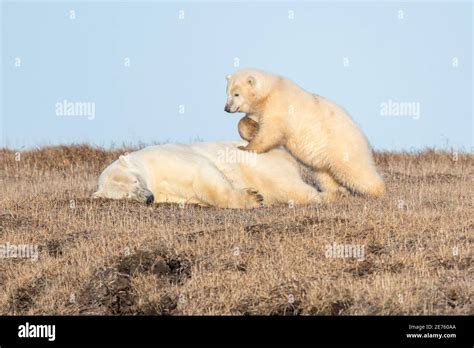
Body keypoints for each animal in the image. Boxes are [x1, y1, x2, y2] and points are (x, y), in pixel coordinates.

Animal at [92, 141, 322, 208]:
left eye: (134, 180)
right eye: (126, 196)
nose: (148, 198)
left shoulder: (164, 159)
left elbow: (202, 174)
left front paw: (252, 197)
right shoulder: (165, 192)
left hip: (260, 164)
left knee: (284, 185)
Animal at [225, 68, 386, 198]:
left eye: (236, 94)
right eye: (227, 93)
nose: (226, 108)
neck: (271, 89)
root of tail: (359, 132)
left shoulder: (280, 106)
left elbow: (271, 131)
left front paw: (246, 147)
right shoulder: (259, 110)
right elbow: (247, 122)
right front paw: (250, 131)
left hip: (342, 146)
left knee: (356, 170)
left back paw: (378, 191)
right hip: (324, 159)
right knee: (325, 176)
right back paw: (339, 191)